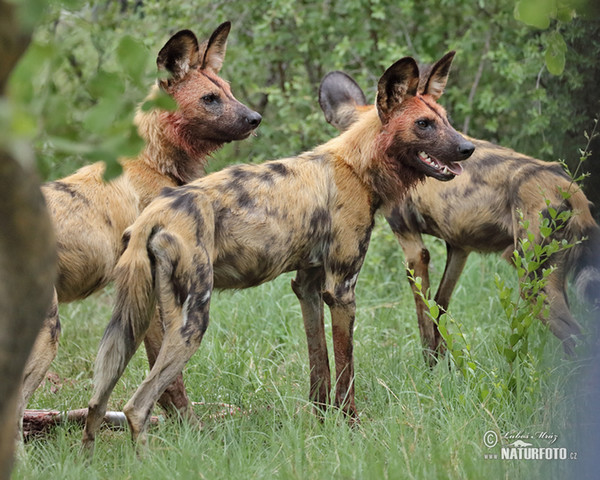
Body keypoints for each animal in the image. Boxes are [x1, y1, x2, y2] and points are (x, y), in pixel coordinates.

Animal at [18, 21, 262, 432]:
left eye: (229, 91)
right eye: (210, 98)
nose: (255, 117)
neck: (156, 160)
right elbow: (170, 383)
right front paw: (189, 431)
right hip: (46, 336)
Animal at [79, 50, 474, 452]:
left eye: (445, 120)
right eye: (423, 124)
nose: (468, 148)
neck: (356, 166)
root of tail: (153, 215)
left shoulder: (309, 287)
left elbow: (320, 370)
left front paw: (321, 426)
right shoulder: (342, 290)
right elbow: (345, 372)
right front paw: (352, 429)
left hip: (133, 323)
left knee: (98, 401)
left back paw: (89, 457)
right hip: (190, 322)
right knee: (136, 406)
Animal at [318, 68, 600, 364]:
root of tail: (569, 188)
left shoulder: (413, 248)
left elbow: (424, 317)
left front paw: (429, 367)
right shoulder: (459, 249)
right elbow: (439, 310)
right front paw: (446, 365)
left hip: (533, 282)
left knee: (577, 337)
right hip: (549, 277)